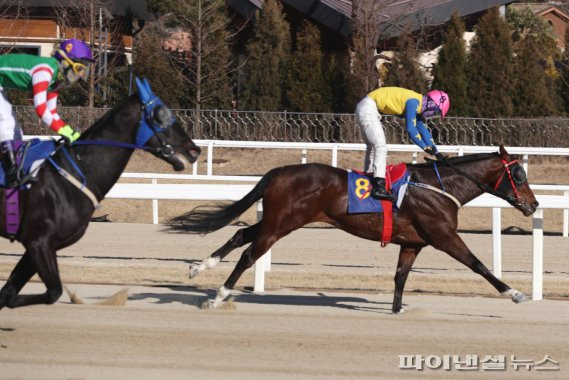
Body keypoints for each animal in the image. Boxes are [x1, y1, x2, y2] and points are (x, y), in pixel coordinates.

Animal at [0, 78, 201, 310]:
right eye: (160, 115)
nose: (194, 150)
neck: (75, 173)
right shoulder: (38, 241)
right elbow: (52, 292)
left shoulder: (40, 245)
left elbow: (8, 293)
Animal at [168, 145, 536, 312]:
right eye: (519, 175)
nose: (533, 205)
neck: (440, 186)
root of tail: (278, 172)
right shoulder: (443, 236)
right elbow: (478, 264)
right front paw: (515, 293)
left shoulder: (413, 243)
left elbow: (400, 277)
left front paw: (398, 308)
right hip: (282, 224)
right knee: (248, 254)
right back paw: (219, 295)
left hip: (276, 220)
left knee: (240, 234)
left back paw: (199, 267)